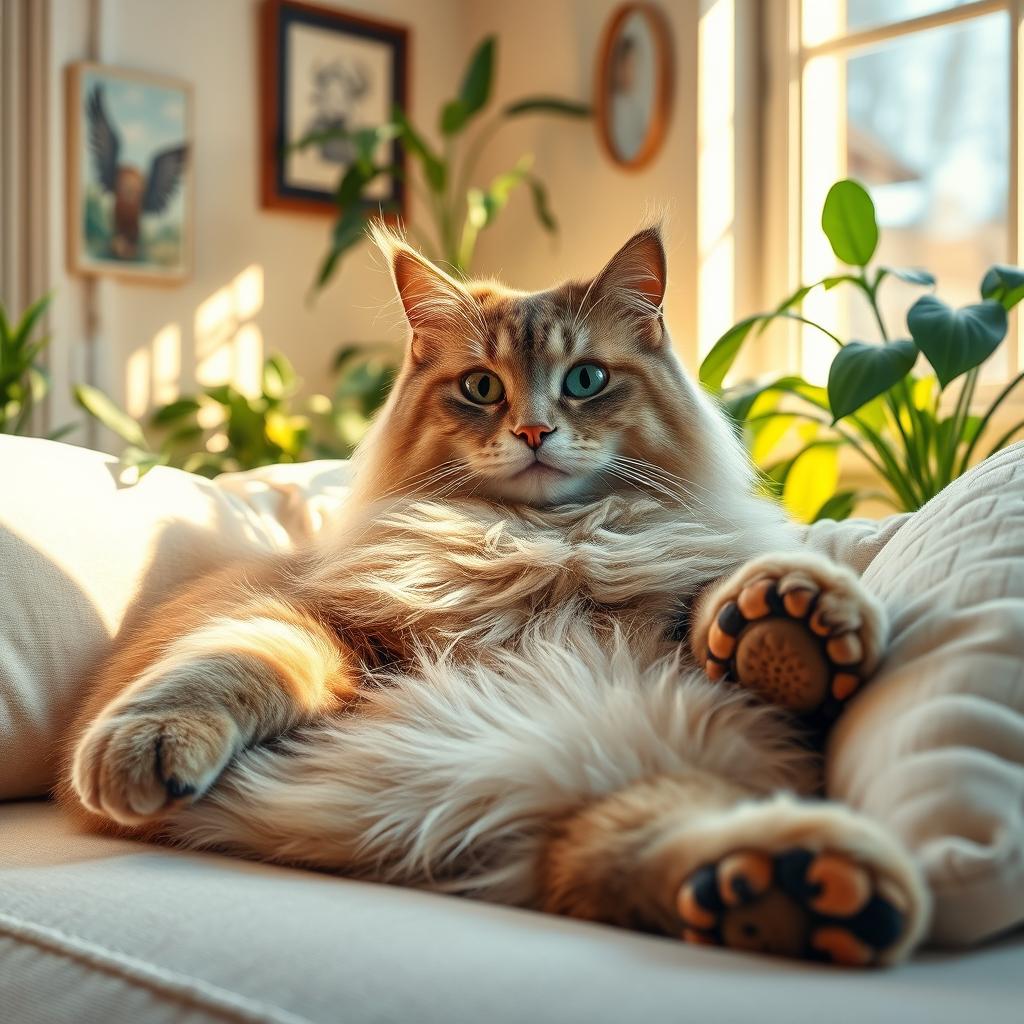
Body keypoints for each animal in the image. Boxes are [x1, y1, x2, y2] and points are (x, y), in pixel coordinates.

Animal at [59, 226, 933, 966]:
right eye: (481, 387)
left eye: (586, 380)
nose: (535, 433)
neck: (544, 546)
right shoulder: (331, 629)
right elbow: (227, 666)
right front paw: (146, 744)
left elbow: (718, 599)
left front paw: (792, 615)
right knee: (610, 865)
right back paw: (792, 891)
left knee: (628, 857)